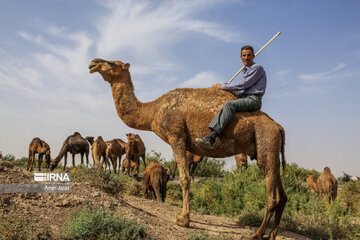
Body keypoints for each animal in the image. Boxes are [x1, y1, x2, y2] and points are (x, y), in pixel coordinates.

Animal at [89, 58, 286, 240]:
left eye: (111, 63)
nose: (93, 63)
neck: (154, 111)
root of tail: (277, 126)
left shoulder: (176, 136)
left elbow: (185, 178)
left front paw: (183, 219)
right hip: (270, 149)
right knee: (282, 194)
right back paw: (272, 234)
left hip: (266, 141)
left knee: (273, 196)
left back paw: (258, 234)